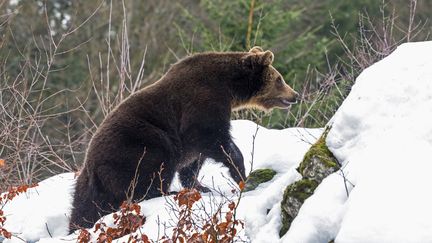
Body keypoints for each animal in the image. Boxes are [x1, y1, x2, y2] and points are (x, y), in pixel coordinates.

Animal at [70, 46, 296, 231]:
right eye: (279, 79)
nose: (294, 95)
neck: (229, 86)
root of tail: (91, 163)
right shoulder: (202, 105)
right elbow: (217, 141)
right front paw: (241, 172)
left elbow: (193, 160)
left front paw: (200, 185)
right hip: (140, 144)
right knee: (152, 171)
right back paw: (163, 193)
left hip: (89, 184)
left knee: (84, 207)